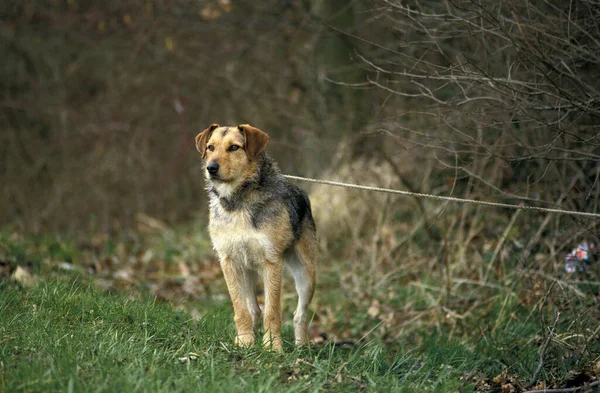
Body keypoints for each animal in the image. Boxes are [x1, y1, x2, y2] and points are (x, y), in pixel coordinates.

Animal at [197, 123, 318, 352]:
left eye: (234, 147)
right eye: (210, 147)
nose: (211, 168)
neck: (238, 201)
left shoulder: (272, 262)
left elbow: (272, 312)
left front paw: (272, 346)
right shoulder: (229, 261)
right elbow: (240, 309)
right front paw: (245, 341)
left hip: (306, 275)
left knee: (300, 314)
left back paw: (301, 346)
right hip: (247, 273)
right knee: (253, 308)